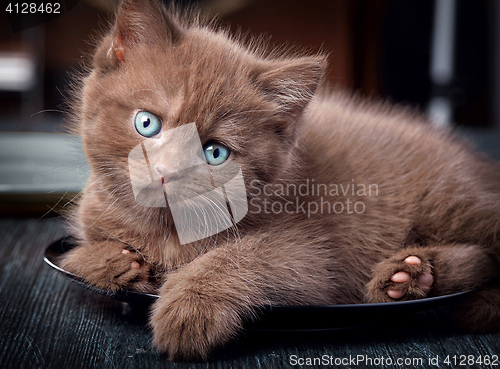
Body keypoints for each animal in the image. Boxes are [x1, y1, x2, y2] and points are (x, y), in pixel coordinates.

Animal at [60, 0, 500, 360]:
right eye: (147, 123)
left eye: (215, 152)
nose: (168, 173)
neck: (167, 231)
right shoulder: (93, 213)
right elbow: (76, 255)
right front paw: (114, 261)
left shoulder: (315, 259)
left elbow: (244, 255)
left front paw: (188, 307)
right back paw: (411, 275)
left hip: (450, 201)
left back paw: (414, 278)